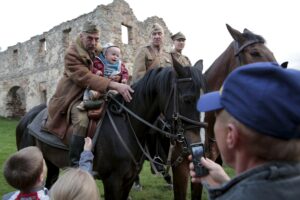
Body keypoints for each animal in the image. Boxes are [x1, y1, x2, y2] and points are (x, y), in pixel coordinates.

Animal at [15, 63, 204, 199]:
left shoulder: (127, 180)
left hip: (51, 165)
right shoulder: (112, 181)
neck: (127, 125)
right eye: (187, 99)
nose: (196, 146)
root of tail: (27, 118)